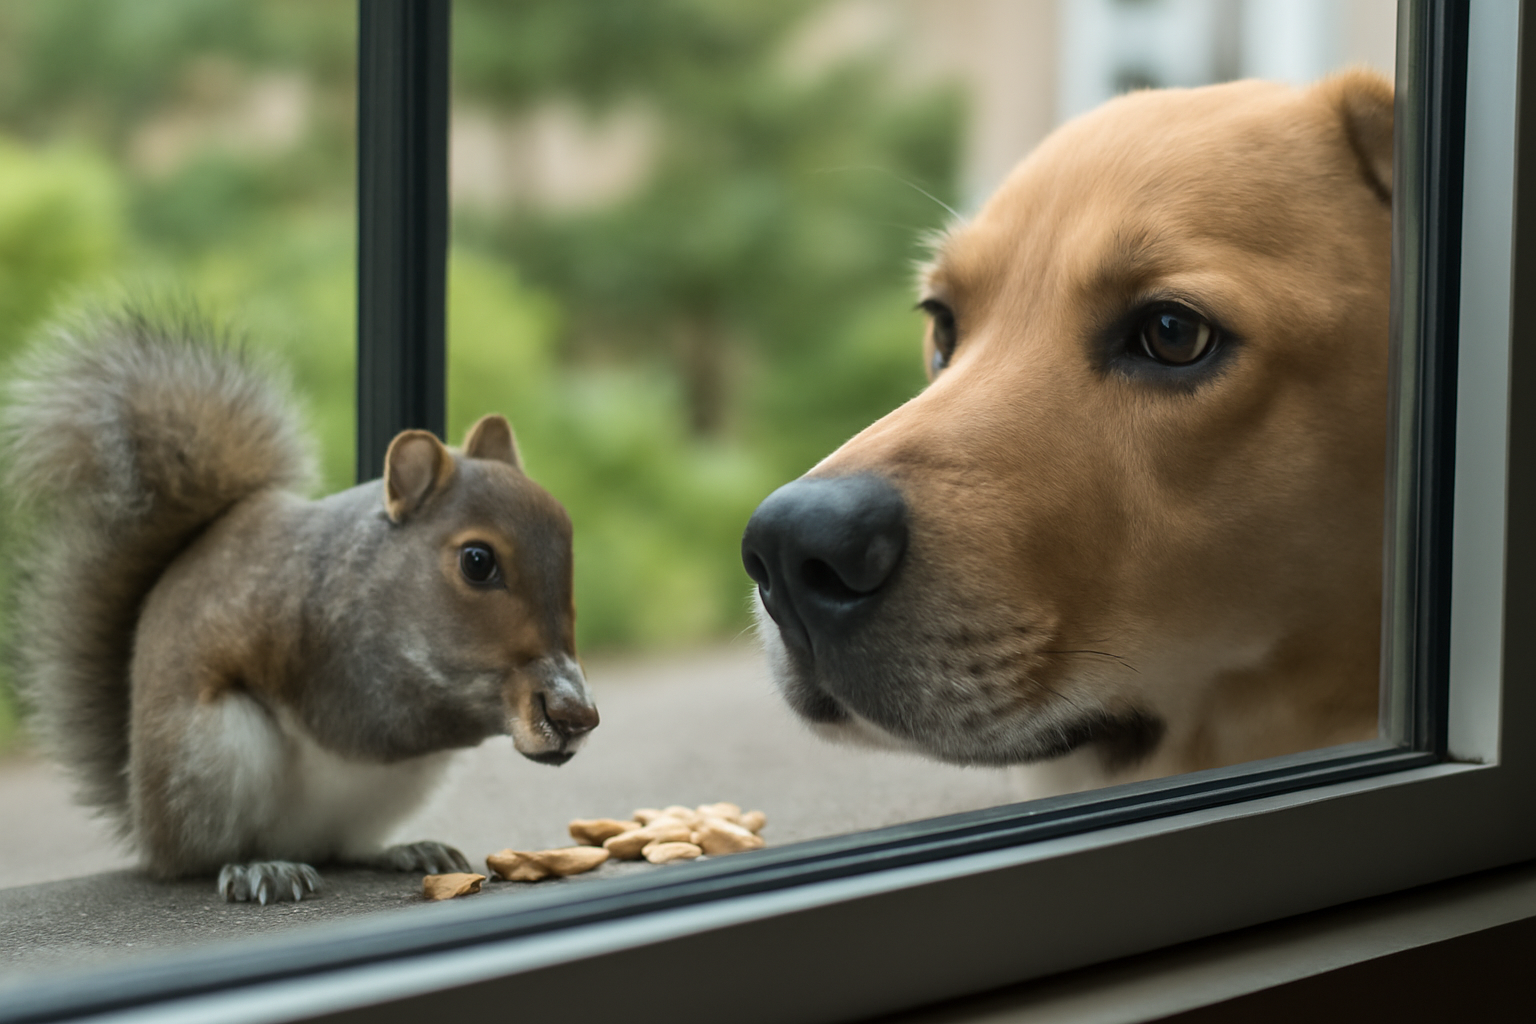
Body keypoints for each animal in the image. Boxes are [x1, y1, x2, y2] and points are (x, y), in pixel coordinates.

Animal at [0, 308, 599, 903]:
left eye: (570, 540)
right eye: (477, 562)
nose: (577, 713)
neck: (382, 590)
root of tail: (147, 823)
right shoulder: (346, 673)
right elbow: (390, 719)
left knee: (346, 846)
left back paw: (404, 850)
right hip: (210, 760)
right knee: (203, 857)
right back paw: (258, 868)